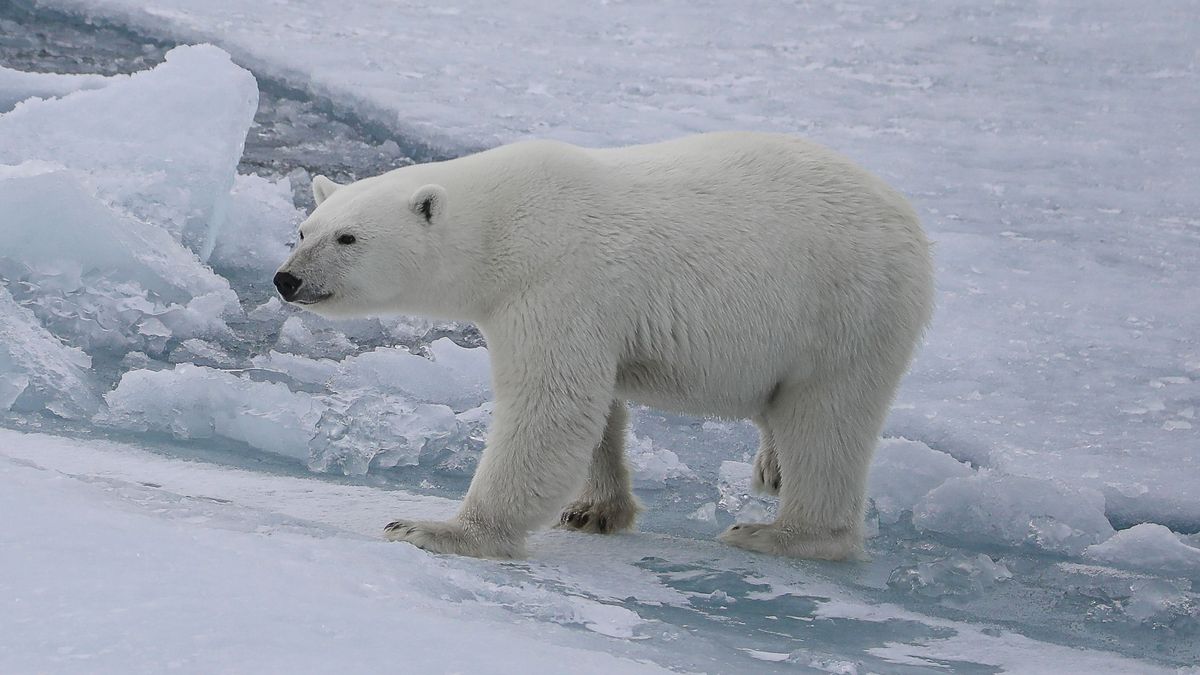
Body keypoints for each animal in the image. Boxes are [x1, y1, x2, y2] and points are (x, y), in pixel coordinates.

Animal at [276, 131, 931, 557]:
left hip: (847, 307)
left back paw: (778, 533)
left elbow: (553, 405)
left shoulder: (559, 281)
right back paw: (771, 469)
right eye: (303, 230)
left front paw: (435, 530)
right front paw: (595, 510)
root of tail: (908, 217)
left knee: (828, 419)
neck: (506, 225)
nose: (287, 280)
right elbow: (598, 410)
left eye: (347, 237)